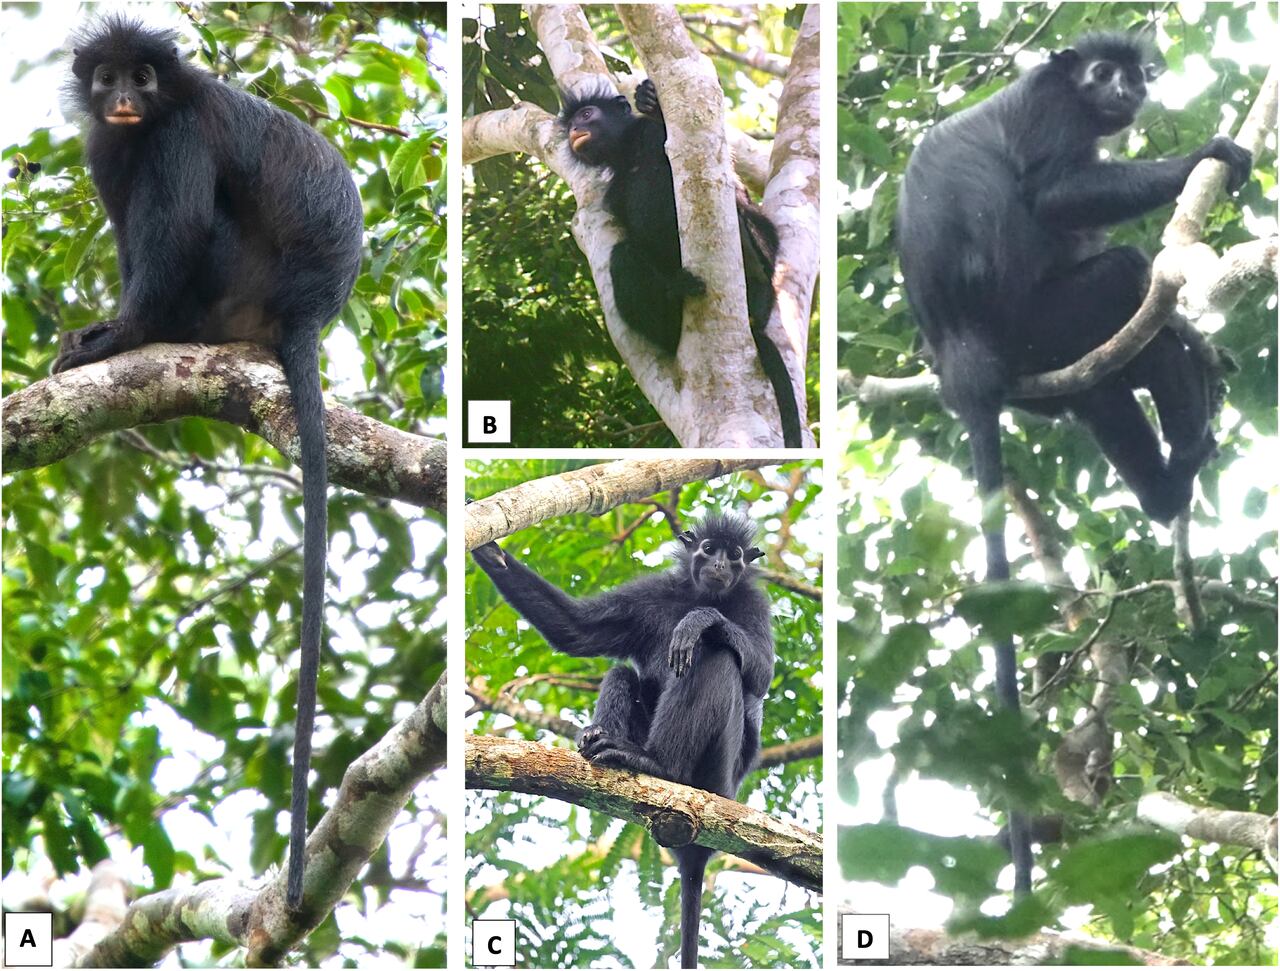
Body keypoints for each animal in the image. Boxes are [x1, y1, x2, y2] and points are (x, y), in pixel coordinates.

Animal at [57, 15, 363, 909]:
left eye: (146, 78)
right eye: (110, 77)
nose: (125, 97)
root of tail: (305, 312)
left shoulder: (179, 133)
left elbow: (178, 226)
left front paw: (118, 336)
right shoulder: (106, 145)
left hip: (235, 281)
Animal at [471, 512, 775, 968]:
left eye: (735, 554)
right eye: (708, 549)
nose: (722, 564)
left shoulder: (755, 603)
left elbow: (761, 672)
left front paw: (700, 620)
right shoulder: (651, 595)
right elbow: (577, 631)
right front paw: (492, 553)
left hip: (718, 774)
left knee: (716, 657)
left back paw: (658, 763)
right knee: (623, 672)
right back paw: (602, 740)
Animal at [560, 78, 803, 448]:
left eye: (587, 115)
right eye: (573, 122)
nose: (576, 128)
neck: (629, 154)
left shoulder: (653, 137)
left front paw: (651, 100)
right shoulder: (613, 193)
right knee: (622, 256)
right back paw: (676, 294)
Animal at [895, 31, 1251, 896]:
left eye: (1133, 75)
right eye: (1101, 73)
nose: (1126, 90)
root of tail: (962, 355)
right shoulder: (1053, 110)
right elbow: (1055, 198)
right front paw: (1210, 153)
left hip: (1044, 367)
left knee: (1101, 392)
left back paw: (1165, 479)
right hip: (1045, 321)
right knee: (1123, 275)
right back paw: (1181, 459)